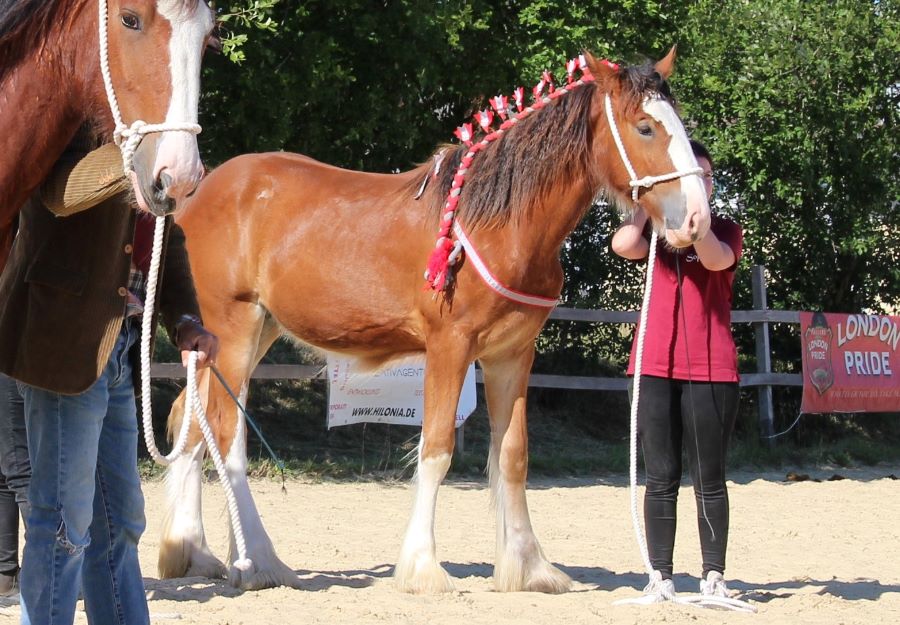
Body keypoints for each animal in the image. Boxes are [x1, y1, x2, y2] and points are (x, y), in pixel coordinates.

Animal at [160, 48, 710, 592]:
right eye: (645, 127)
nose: (697, 220)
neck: (496, 223)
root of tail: (197, 194)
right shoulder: (451, 346)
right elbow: (438, 447)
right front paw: (423, 568)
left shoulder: (513, 354)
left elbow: (513, 454)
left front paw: (529, 567)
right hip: (235, 327)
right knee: (226, 433)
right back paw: (259, 562)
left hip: (246, 335)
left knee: (192, 419)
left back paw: (191, 552)